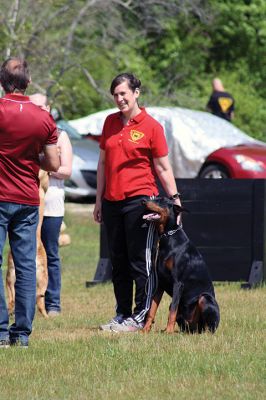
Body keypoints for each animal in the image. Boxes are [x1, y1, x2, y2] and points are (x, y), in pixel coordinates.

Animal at [142, 198, 219, 334]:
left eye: (160, 200)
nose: (143, 200)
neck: (168, 236)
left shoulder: (178, 283)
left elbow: (173, 309)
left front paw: (168, 331)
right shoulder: (160, 283)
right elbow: (152, 308)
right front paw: (145, 330)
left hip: (205, 298)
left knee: (209, 327)